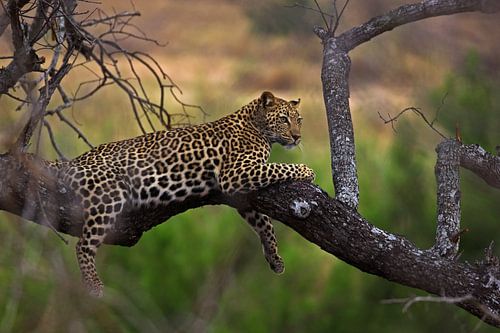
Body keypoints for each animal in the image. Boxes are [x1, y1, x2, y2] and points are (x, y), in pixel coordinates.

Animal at [53, 91, 312, 296]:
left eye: (299, 120)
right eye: (283, 119)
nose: (298, 137)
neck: (256, 125)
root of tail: (71, 161)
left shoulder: (241, 194)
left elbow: (264, 224)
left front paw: (275, 257)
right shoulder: (237, 173)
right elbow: (280, 167)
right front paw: (307, 171)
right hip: (110, 194)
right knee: (83, 245)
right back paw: (94, 286)